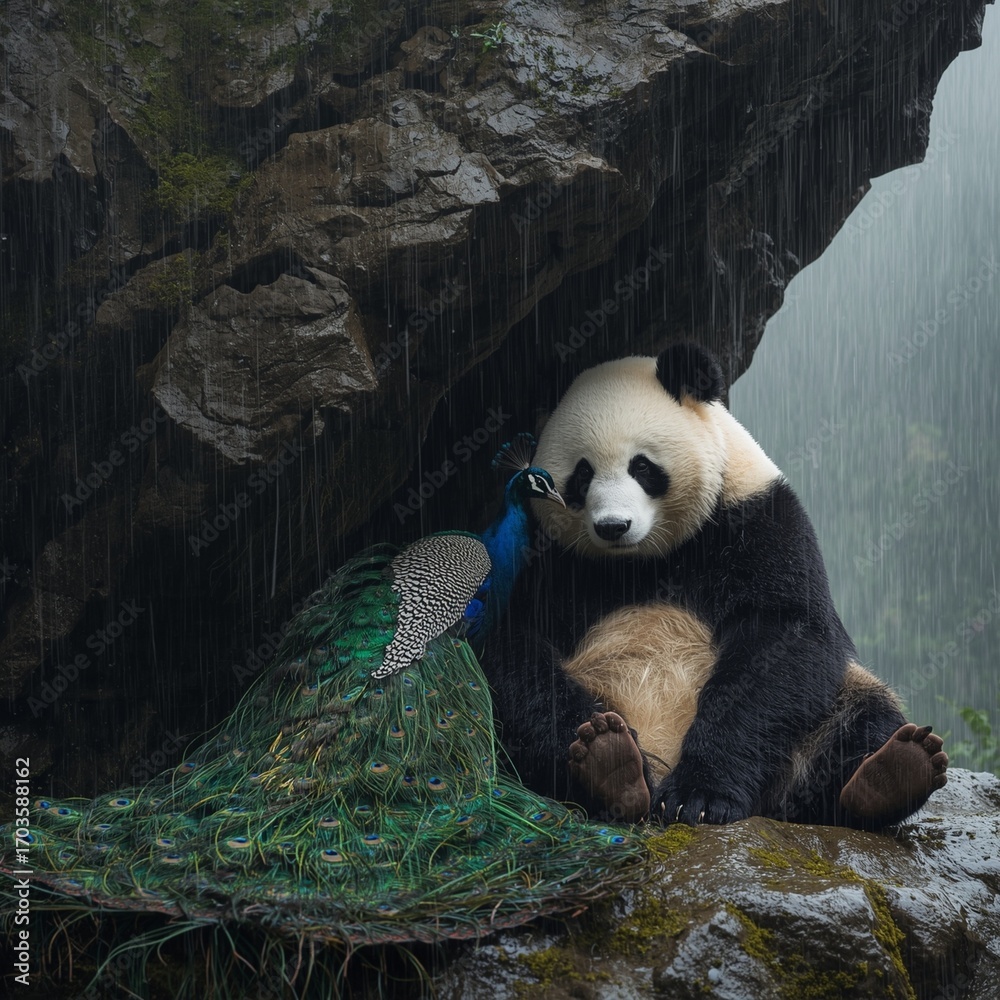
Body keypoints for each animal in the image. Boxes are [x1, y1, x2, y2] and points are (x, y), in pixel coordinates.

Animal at [481, 343, 948, 828]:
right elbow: (515, 646)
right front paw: (597, 744)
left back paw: (891, 774)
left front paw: (699, 796)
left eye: (642, 466)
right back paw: (612, 765)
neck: (643, 560)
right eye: (582, 475)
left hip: (822, 724)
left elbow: (782, 638)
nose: (613, 526)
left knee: (861, 716)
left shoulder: (757, 518)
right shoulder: (547, 559)